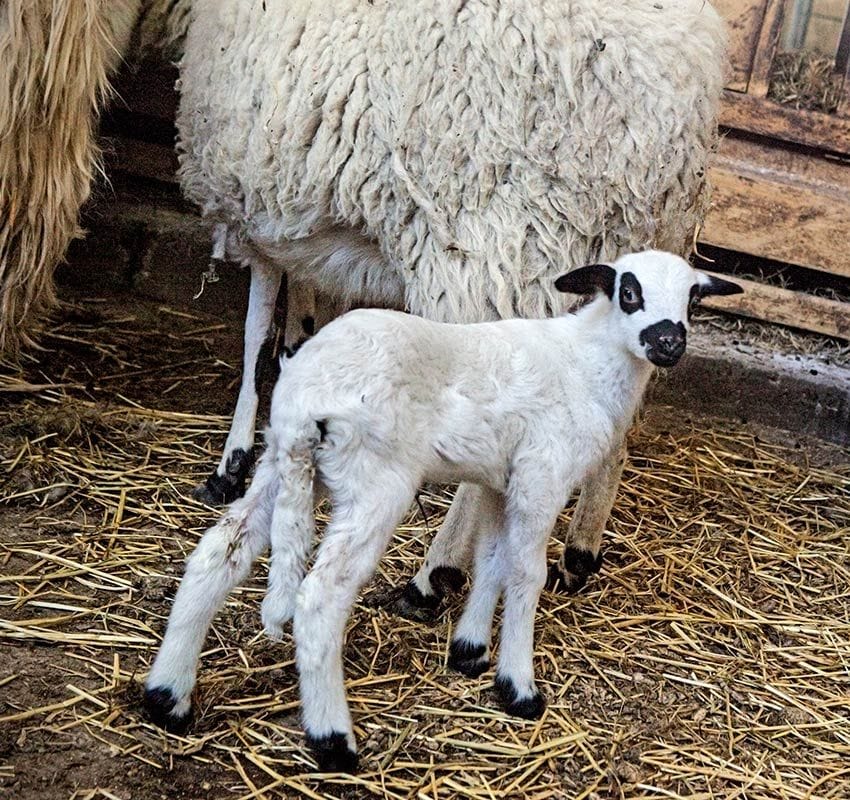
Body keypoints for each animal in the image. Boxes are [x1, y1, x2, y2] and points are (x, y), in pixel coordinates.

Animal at [146, 252, 744, 776]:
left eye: (693, 297)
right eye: (628, 291)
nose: (668, 341)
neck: (588, 364)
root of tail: (305, 401)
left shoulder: (502, 482)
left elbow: (492, 563)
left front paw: (470, 652)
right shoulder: (541, 477)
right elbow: (526, 575)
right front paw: (518, 687)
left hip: (281, 465)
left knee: (218, 552)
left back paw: (167, 698)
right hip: (375, 481)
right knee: (319, 598)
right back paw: (333, 741)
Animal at [177, 0, 724, 600]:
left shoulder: (258, 202)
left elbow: (255, 332)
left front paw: (232, 462)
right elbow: (297, 322)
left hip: (502, 251)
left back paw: (433, 575)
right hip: (642, 263)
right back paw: (581, 551)